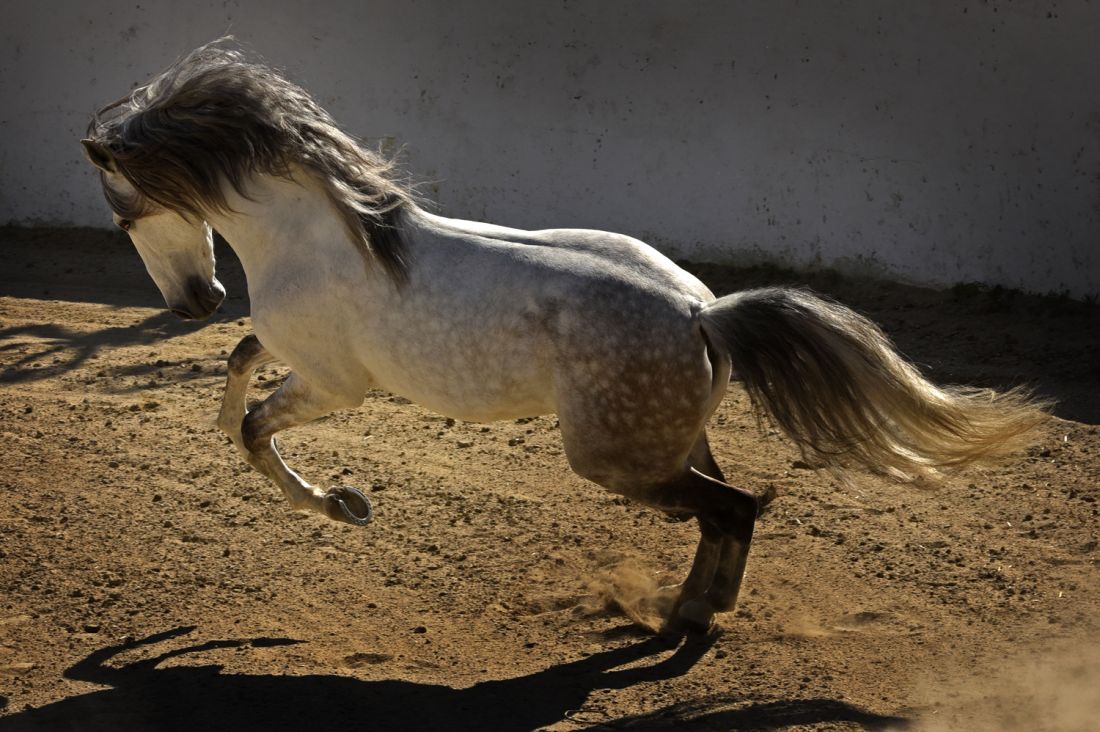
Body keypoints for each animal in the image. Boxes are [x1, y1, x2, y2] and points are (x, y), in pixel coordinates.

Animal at [81, 41, 1047, 633]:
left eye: (121, 211)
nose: (196, 299)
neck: (324, 238)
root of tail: (701, 314)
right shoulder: (302, 362)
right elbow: (242, 359)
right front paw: (239, 428)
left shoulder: (336, 384)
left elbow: (255, 430)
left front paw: (343, 505)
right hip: (666, 443)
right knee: (725, 511)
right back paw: (691, 610)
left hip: (614, 459)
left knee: (733, 508)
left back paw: (687, 620)